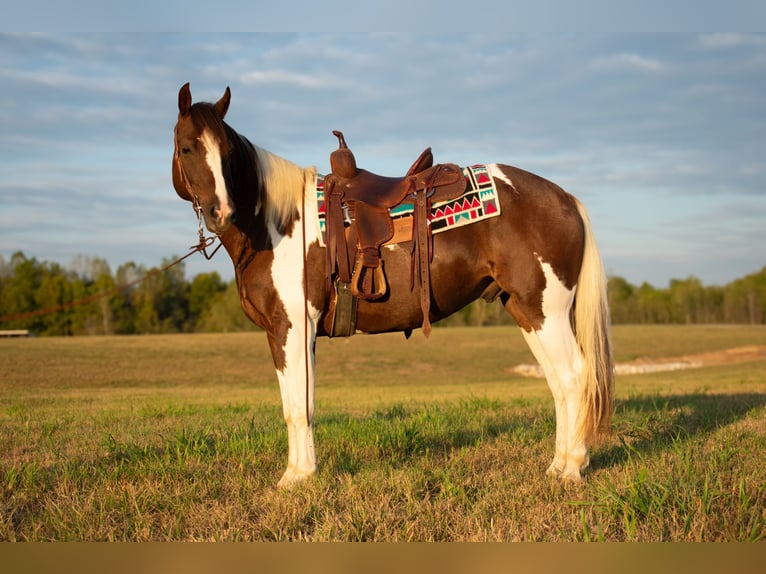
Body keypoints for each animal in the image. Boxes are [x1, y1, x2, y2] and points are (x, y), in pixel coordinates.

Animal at [171, 83, 616, 488]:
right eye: (187, 148)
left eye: (228, 153)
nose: (221, 213)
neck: (279, 223)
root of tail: (564, 197)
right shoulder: (287, 332)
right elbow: (298, 401)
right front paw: (301, 472)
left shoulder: (293, 327)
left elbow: (299, 406)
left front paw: (297, 477)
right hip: (527, 312)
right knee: (558, 383)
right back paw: (557, 465)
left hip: (548, 311)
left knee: (575, 377)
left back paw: (572, 469)